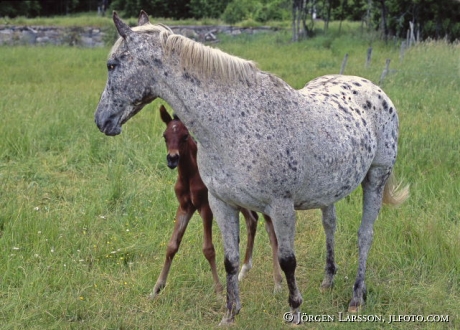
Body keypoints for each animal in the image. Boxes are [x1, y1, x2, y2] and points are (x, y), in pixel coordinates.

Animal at [94, 10, 410, 324]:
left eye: (112, 65)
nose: (101, 120)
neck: (235, 123)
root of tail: (376, 90)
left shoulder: (281, 207)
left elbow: (287, 260)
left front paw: (295, 312)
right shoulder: (221, 203)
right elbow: (230, 260)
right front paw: (230, 314)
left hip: (375, 178)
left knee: (365, 235)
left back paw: (357, 297)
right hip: (328, 190)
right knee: (329, 225)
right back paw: (327, 281)